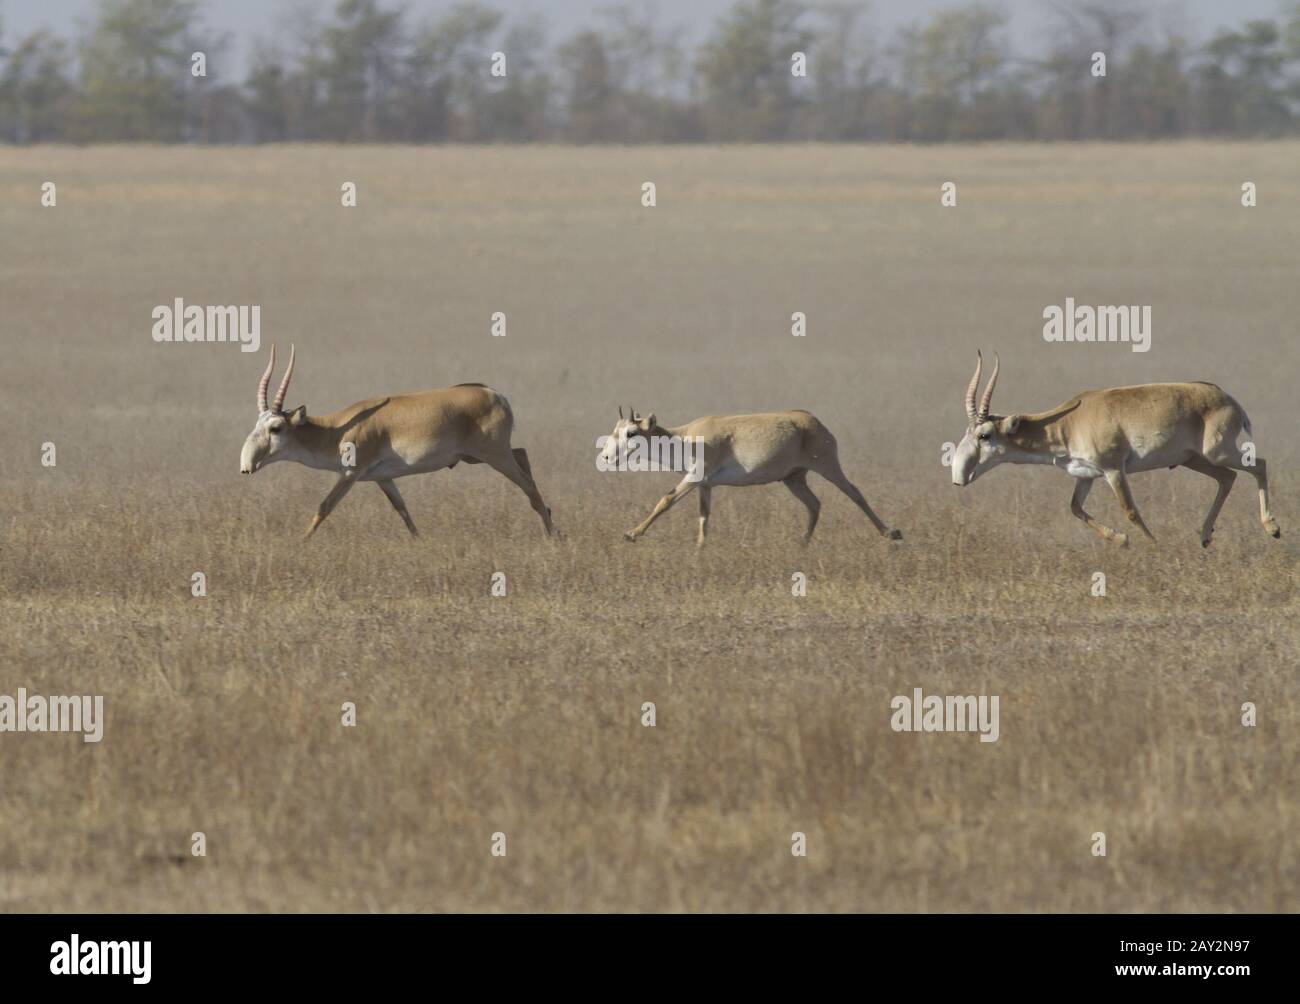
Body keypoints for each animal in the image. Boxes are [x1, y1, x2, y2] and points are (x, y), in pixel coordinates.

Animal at [239, 343, 553, 538]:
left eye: (276, 427)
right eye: (257, 424)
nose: (246, 466)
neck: (337, 429)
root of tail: (494, 393)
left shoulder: (351, 473)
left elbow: (324, 507)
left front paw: (300, 543)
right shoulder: (382, 478)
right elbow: (402, 510)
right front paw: (420, 542)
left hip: (494, 456)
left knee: (529, 485)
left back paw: (554, 535)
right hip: (476, 457)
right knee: (523, 454)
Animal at [600, 403, 899, 546]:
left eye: (632, 433)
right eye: (615, 430)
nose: (605, 457)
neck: (685, 437)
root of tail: (813, 420)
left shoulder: (693, 479)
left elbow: (664, 501)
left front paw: (631, 534)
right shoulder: (705, 485)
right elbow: (704, 518)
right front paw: (700, 550)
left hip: (828, 467)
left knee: (855, 493)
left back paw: (891, 532)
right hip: (793, 478)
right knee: (814, 504)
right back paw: (802, 543)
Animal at [951, 348, 1284, 546]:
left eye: (985, 435)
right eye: (967, 432)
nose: (958, 477)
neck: (1069, 420)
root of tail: (1226, 397)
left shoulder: (1113, 470)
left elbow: (1130, 510)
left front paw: (1155, 546)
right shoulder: (1085, 476)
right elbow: (1075, 507)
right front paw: (1121, 540)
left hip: (1218, 452)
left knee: (1260, 464)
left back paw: (1273, 528)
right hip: (1194, 460)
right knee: (1228, 477)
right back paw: (1204, 536)